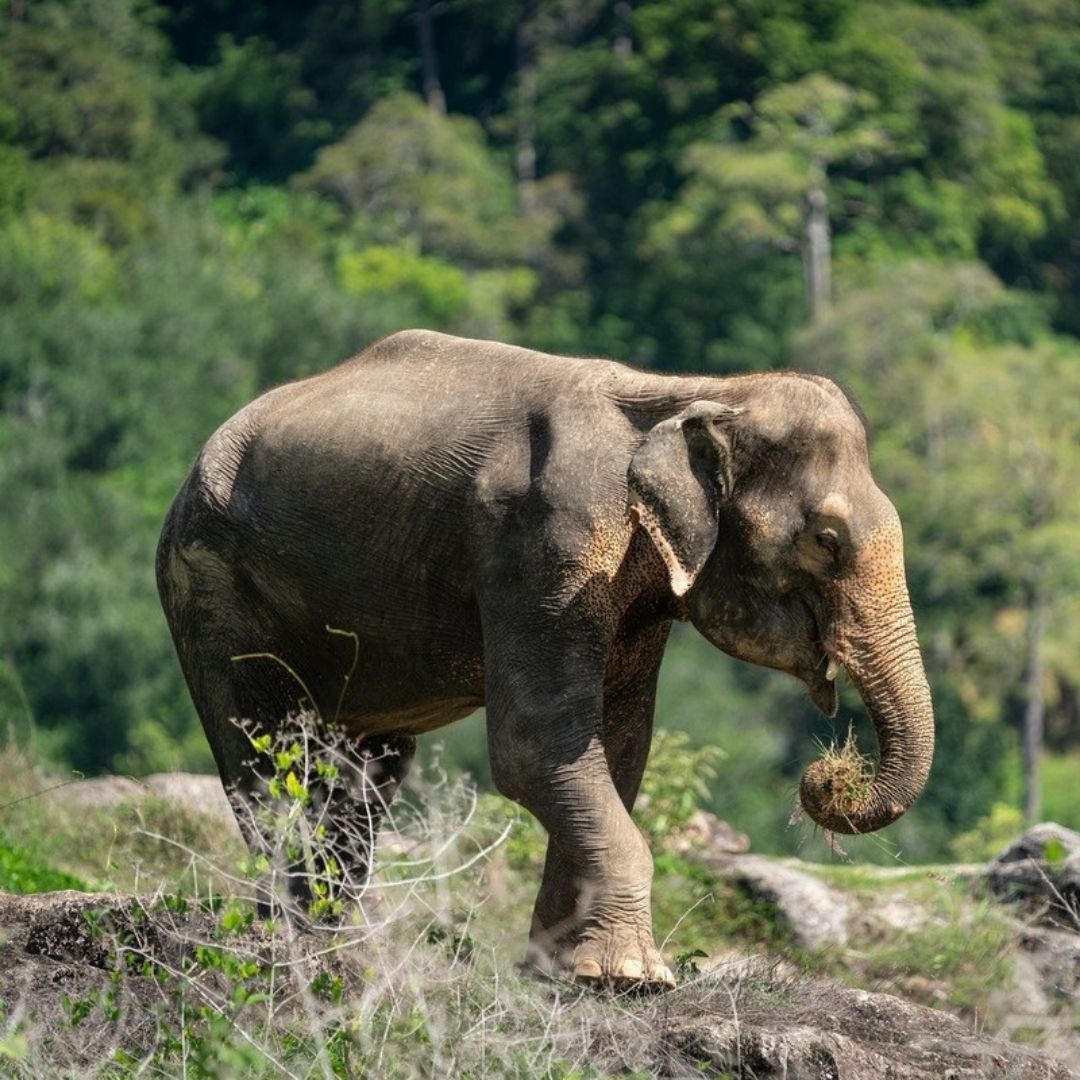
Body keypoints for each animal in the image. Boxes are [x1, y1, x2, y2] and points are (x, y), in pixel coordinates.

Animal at [156, 329, 934, 989]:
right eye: (826, 541)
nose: (828, 776)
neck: (688, 394)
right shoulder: (543, 542)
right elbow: (536, 748)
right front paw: (630, 978)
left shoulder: (631, 590)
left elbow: (616, 750)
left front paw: (566, 973)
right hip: (211, 588)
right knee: (268, 758)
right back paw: (287, 950)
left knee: (359, 778)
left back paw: (326, 947)